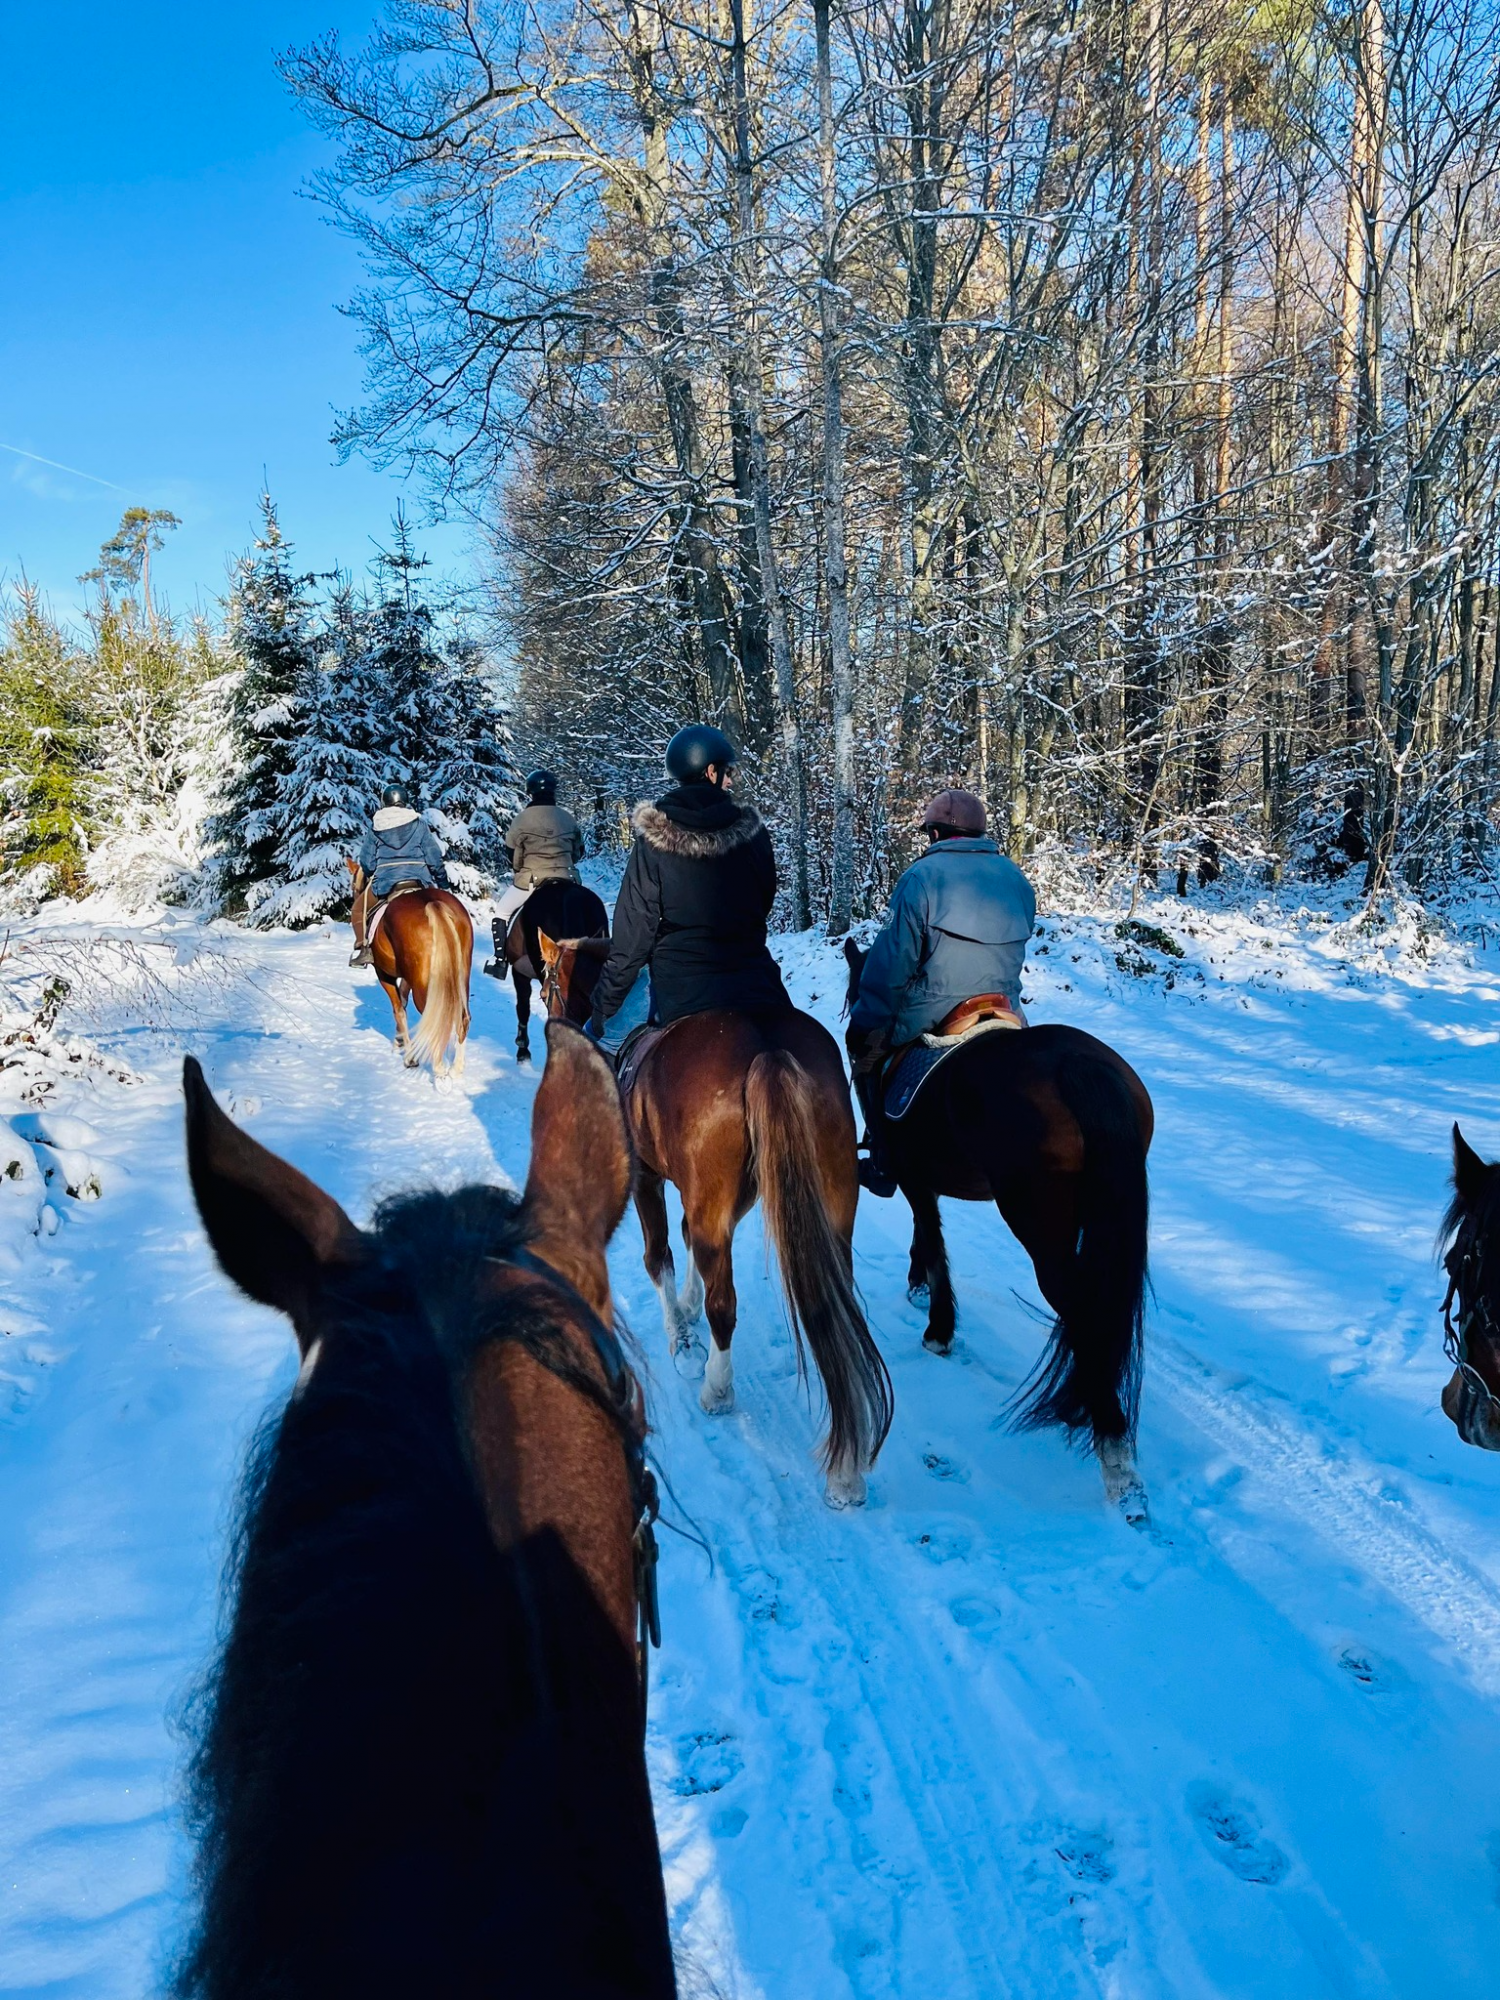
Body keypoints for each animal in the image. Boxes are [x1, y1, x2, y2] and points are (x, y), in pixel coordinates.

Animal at [348, 860, 476, 1080]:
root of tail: (433, 905)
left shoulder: (384, 974)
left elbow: (399, 1009)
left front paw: (409, 1058)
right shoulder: (409, 976)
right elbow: (403, 999)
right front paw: (399, 1041)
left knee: (436, 1020)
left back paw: (439, 1070)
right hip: (460, 977)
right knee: (462, 1018)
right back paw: (456, 1068)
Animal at [624, 1008, 892, 1504]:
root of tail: (768, 1049)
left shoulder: (645, 1177)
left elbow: (658, 1255)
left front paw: (681, 1337)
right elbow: (686, 1243)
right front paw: (687, 1308)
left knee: (723, 1304)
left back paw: (716, 1390)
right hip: (830, 1201)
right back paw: (847, 1475)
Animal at [848, 936, 1152, 1512]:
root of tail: (1079, 1068)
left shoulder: (914, 1178)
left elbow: (933, 1241)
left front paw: (938, 1328)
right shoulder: (925, 1180)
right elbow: (928, 1234)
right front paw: (919, 1288)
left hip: (1037, 1222)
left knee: (1080, 1309)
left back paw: (1115, 1454)